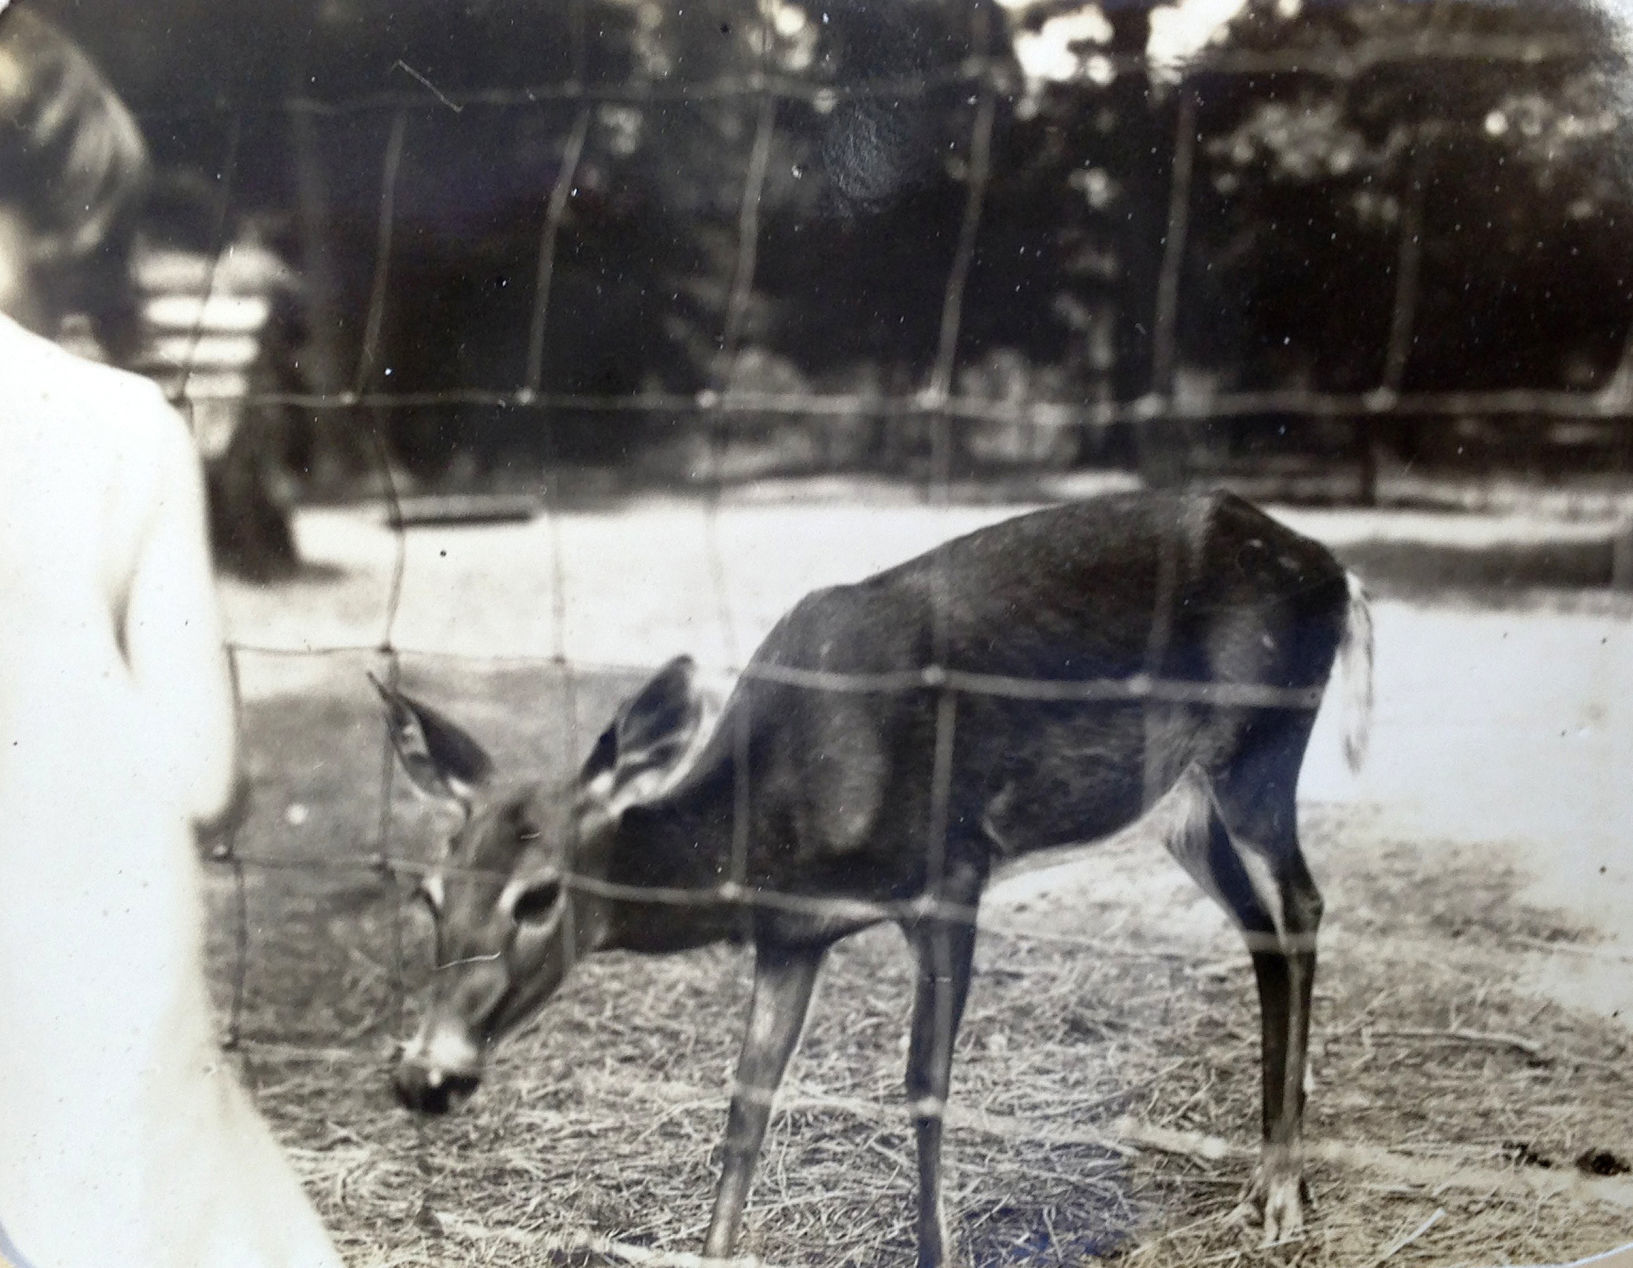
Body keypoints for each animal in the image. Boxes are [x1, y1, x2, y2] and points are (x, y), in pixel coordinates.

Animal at [375, 486, 1371, 1268]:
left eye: (539, 895)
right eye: (426, 893)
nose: (425, 1076)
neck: (775, 824)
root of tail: (1336, 570)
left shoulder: (949, 871)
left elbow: (923, 1085)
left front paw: (936, 1250)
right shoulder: (790, 935)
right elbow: (747, 1102)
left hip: (1258, 749)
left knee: (1303, 905)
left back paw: (1283, 1194)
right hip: (1184, 806)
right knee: (1261, 928)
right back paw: (1267, 1181)